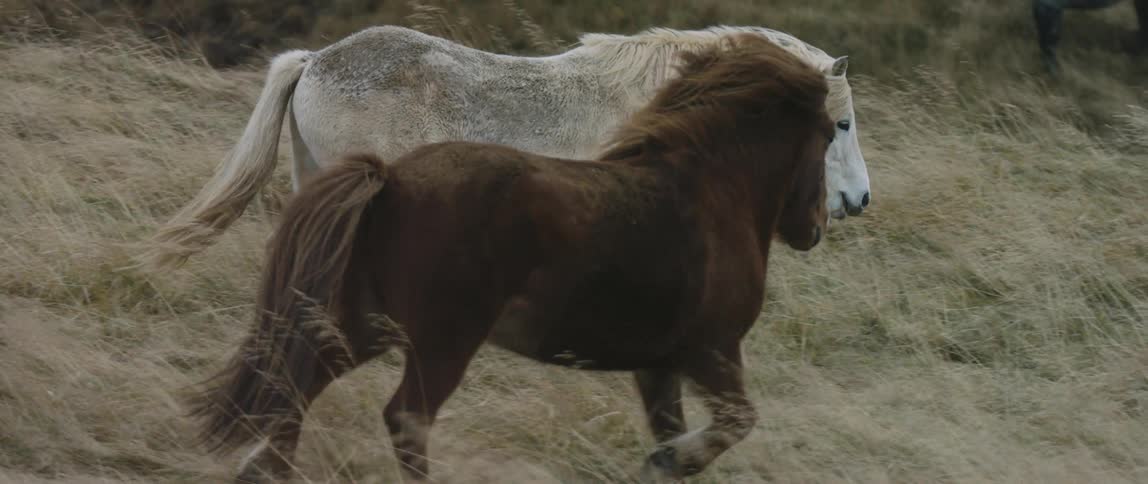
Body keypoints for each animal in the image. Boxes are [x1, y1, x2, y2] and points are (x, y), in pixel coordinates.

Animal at [188, 33, 834, 483]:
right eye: (834, 131)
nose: (820, 224)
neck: (705, 188)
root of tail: (389, 181)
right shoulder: (712, 350)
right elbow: (733, 423)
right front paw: (673, 458)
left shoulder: (660, 364)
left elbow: (673, 432)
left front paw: (663, 459)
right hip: (441, 339)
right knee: (404, 417)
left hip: (362, 322)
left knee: (295, 382)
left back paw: (262, 467)